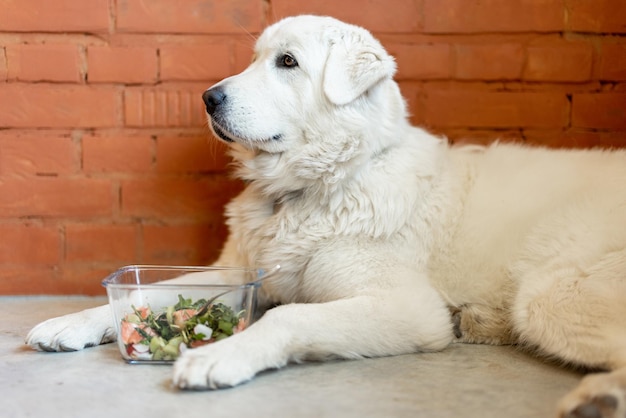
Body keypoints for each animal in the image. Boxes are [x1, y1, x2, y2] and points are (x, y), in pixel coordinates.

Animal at [28, 14, 624, 416]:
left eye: (287, 62)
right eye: (255, 58)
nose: (208, 98)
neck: (307, 190)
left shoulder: (408, 307)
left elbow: (291, 316)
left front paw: (220, 355)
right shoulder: (235, 271)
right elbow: (147, 289)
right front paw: (72, 322)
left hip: (550, 293)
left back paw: (598, 395)